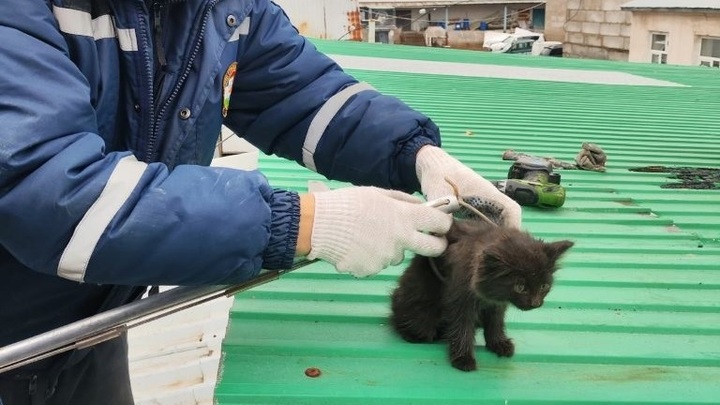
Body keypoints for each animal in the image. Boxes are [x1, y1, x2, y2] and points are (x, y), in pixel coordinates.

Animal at [388, 219, 572, 370]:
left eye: (544, 286)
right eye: (520, 287)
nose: (535, 303)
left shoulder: (496, 304)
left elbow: (496, 323)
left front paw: (498, 343)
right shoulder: (460, 300)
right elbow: (462, 328)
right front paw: (463, 358)